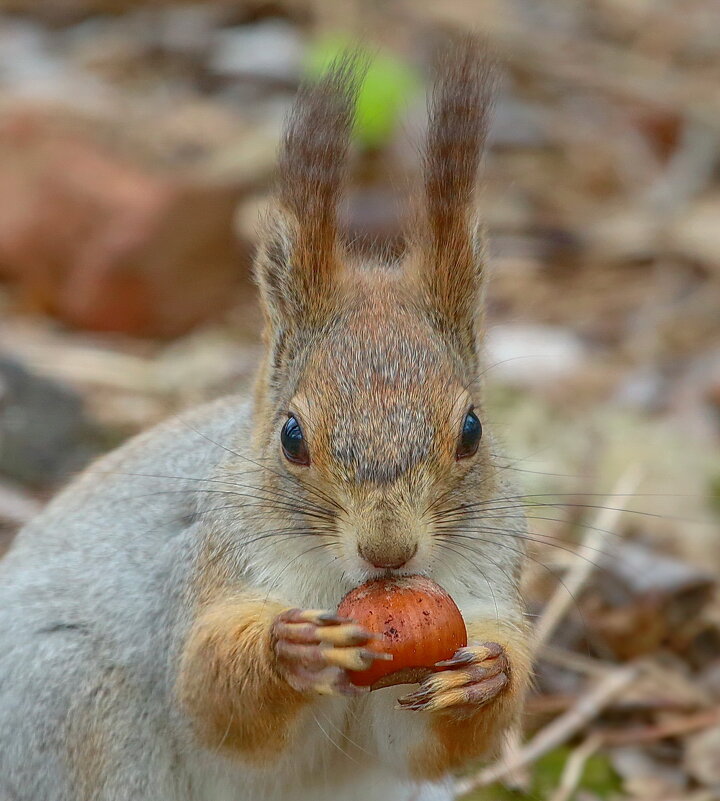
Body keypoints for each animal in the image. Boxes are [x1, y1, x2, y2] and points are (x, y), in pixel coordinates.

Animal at [0, 37, 528, 800]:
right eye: (291, 436)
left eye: (472, 431)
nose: (389, 550)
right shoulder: (211, 563)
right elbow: (210, 694)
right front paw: (291, 649)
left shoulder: (485, 583)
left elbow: (424, 743)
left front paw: (488, 675)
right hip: (74, 708)